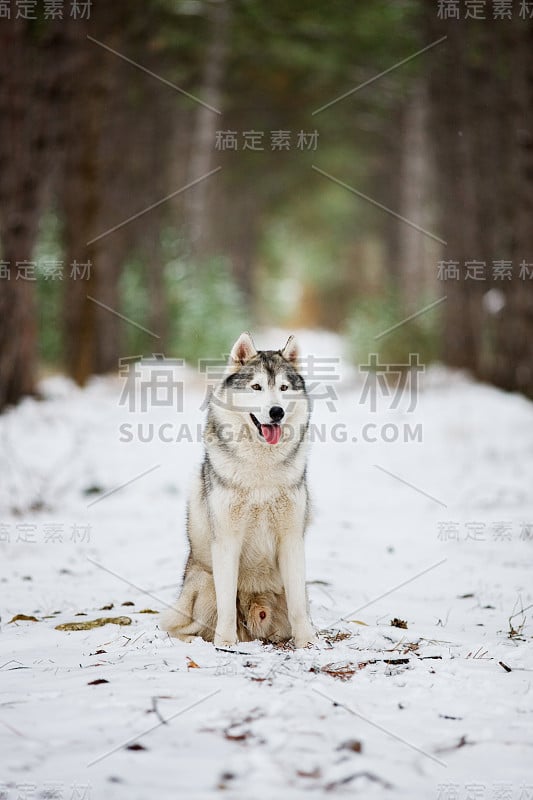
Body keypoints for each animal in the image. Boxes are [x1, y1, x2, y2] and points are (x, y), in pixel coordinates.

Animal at [160, 332, 314, 648]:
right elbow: (227, 604)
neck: (261, 473)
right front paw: (226, 645)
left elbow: (297, 607)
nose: (277, 412)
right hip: (204, 582)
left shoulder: (292, 540)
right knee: (177, 627)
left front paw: (309, 643)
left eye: (283, 387)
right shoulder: (226, 541)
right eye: (256, 387)